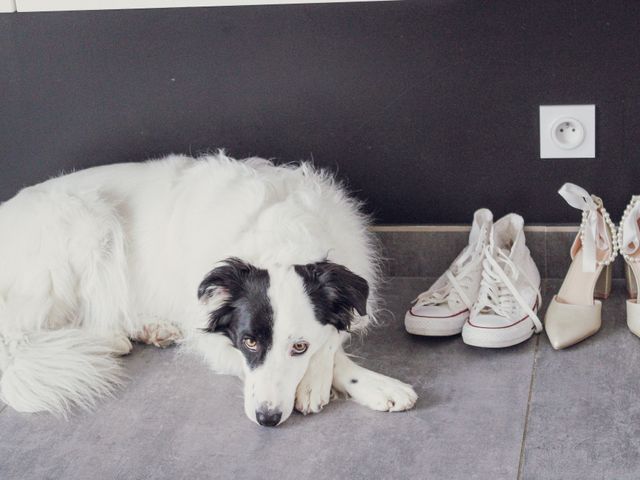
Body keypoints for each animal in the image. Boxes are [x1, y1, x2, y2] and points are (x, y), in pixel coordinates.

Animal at [0, 152, 416, 426]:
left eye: (299, 346)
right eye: (249, 342)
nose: (267, 418)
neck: (281, 237)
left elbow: (332, 337)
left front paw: (362, 383)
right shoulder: (213, 335)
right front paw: (323, 384)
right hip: (86, 221)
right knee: (29, 330)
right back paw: (112, 340)